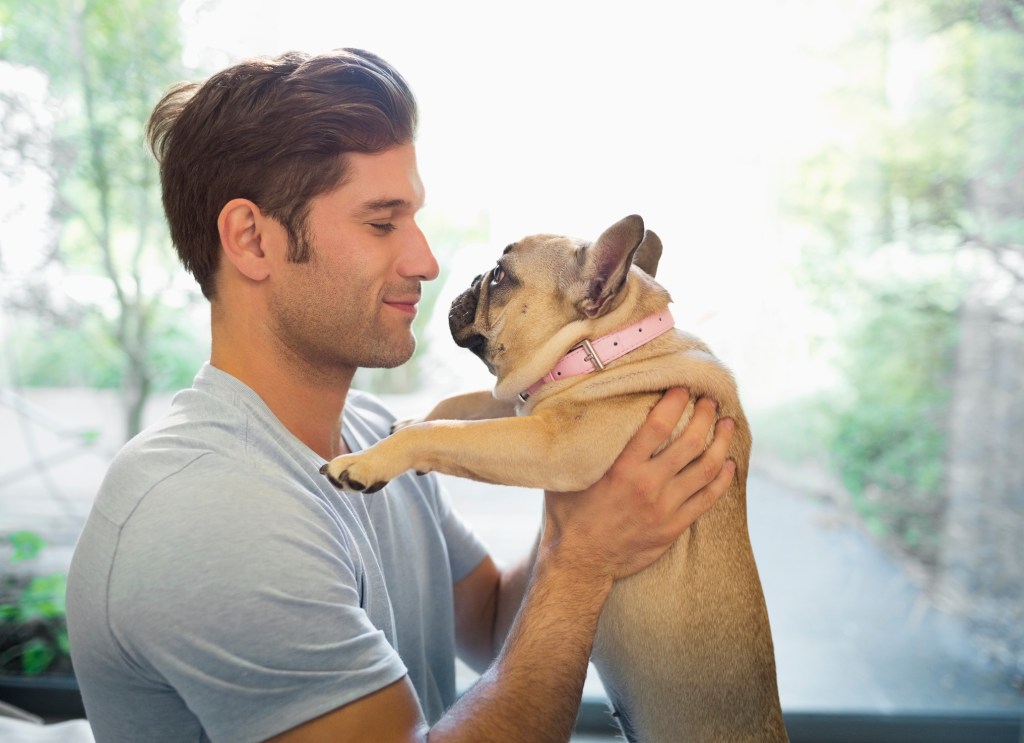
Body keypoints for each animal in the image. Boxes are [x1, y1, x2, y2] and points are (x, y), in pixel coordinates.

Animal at [323, 213, 786, 740]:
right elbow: (461, 403)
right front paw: (411, 418)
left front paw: (372, 458)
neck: (605, 345)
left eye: (500, 276)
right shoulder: (523, 405)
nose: (470, 279)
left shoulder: (550, 446)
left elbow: (448, 431)